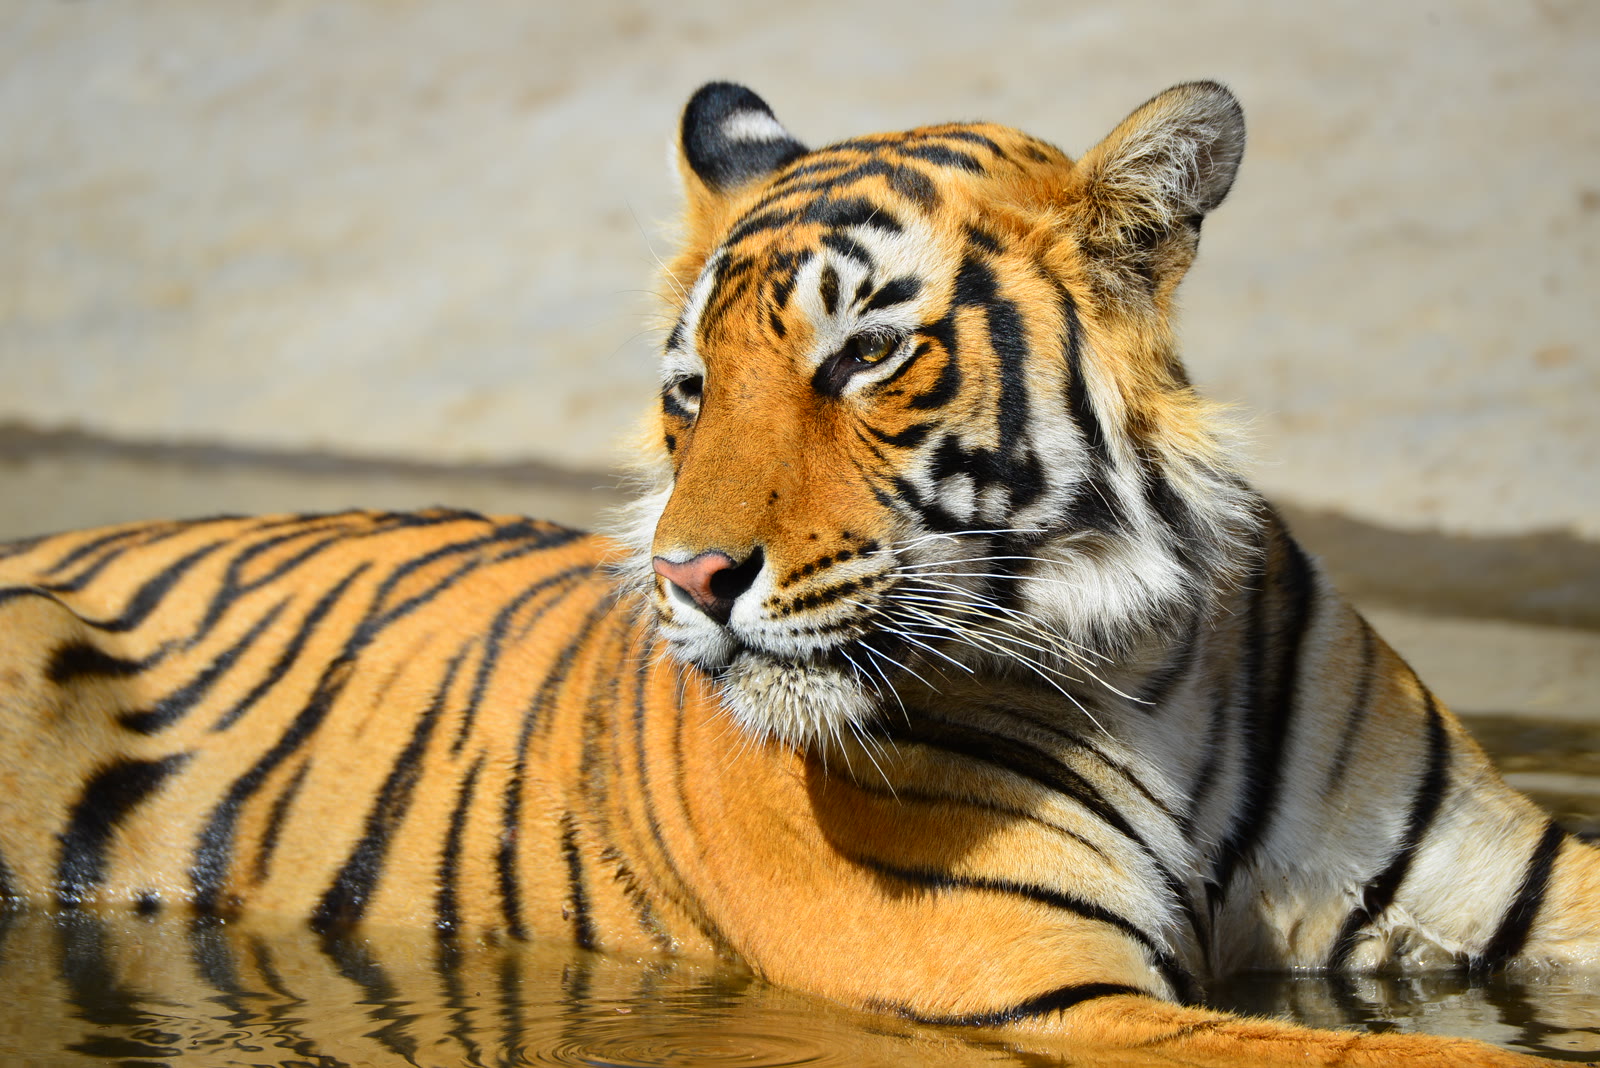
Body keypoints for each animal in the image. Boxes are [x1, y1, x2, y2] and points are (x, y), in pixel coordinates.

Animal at [0, 80, 1595, 1067]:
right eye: (691, 390)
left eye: (868, 354)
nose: (692, 576)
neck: (1148, 665)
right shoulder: (1029, 984)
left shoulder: (1509, 887)